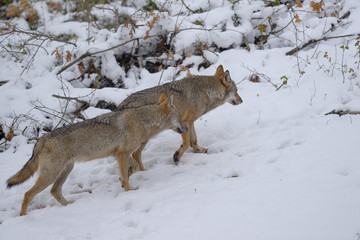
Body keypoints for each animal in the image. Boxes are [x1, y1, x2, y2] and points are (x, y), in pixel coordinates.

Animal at [7, 93, 187, 216]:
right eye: (180, 117)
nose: (186, 128)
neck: (142, 121)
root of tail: (41, 139)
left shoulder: (120, 154)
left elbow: (134, 167)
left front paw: (127, 178)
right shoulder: (122, 154)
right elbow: (128, 175)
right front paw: (129, 190)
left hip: (64, 171)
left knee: (54, 191)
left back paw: (69, 205)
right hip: (50, 175)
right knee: (28, 194)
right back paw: (23, 217)